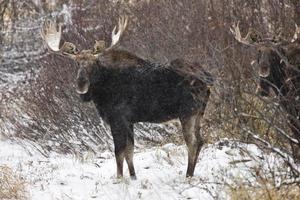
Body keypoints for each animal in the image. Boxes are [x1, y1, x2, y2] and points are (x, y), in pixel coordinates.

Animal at [41, 16, 213, 178]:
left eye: (94, 63)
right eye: (76, 63)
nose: (81, 84)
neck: (101, 92)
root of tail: (207, 78)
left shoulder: (117, 119)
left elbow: (119, 152)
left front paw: (119, 178)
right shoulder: (129, 121)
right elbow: (129, 151)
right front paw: (133, 176)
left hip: (187, 112)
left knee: (192, 142)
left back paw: (188, 175)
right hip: (199, 113)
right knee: (201, 140)